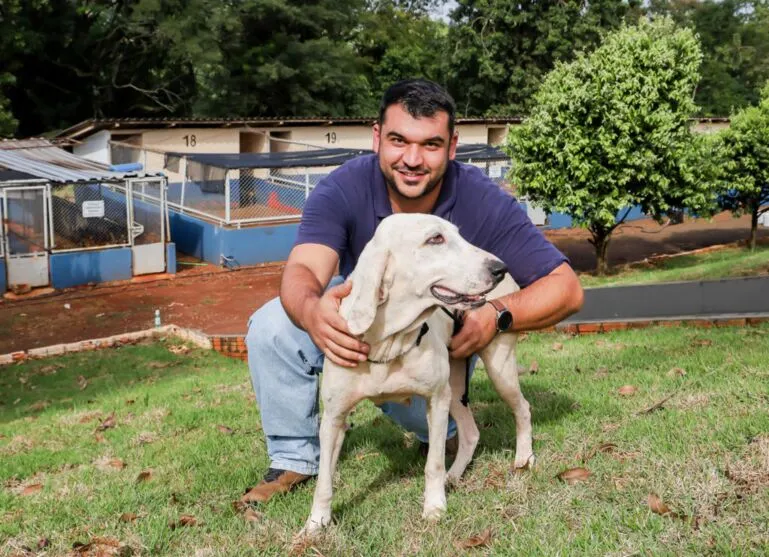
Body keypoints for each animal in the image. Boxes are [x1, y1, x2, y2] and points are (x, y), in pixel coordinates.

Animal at [300, 212, 536, 536]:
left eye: (458, 234)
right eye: (435, 238)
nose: (500, 268)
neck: (387, 341)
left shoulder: (435, 401)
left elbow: (433, 465)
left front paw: (434, 507)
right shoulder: (334, 417)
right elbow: (324, 480)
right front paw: (316, 523)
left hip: (496, 370)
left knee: (522, 407)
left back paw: (523, 457)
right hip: (454, 389)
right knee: (471, 432)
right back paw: (455, 474)